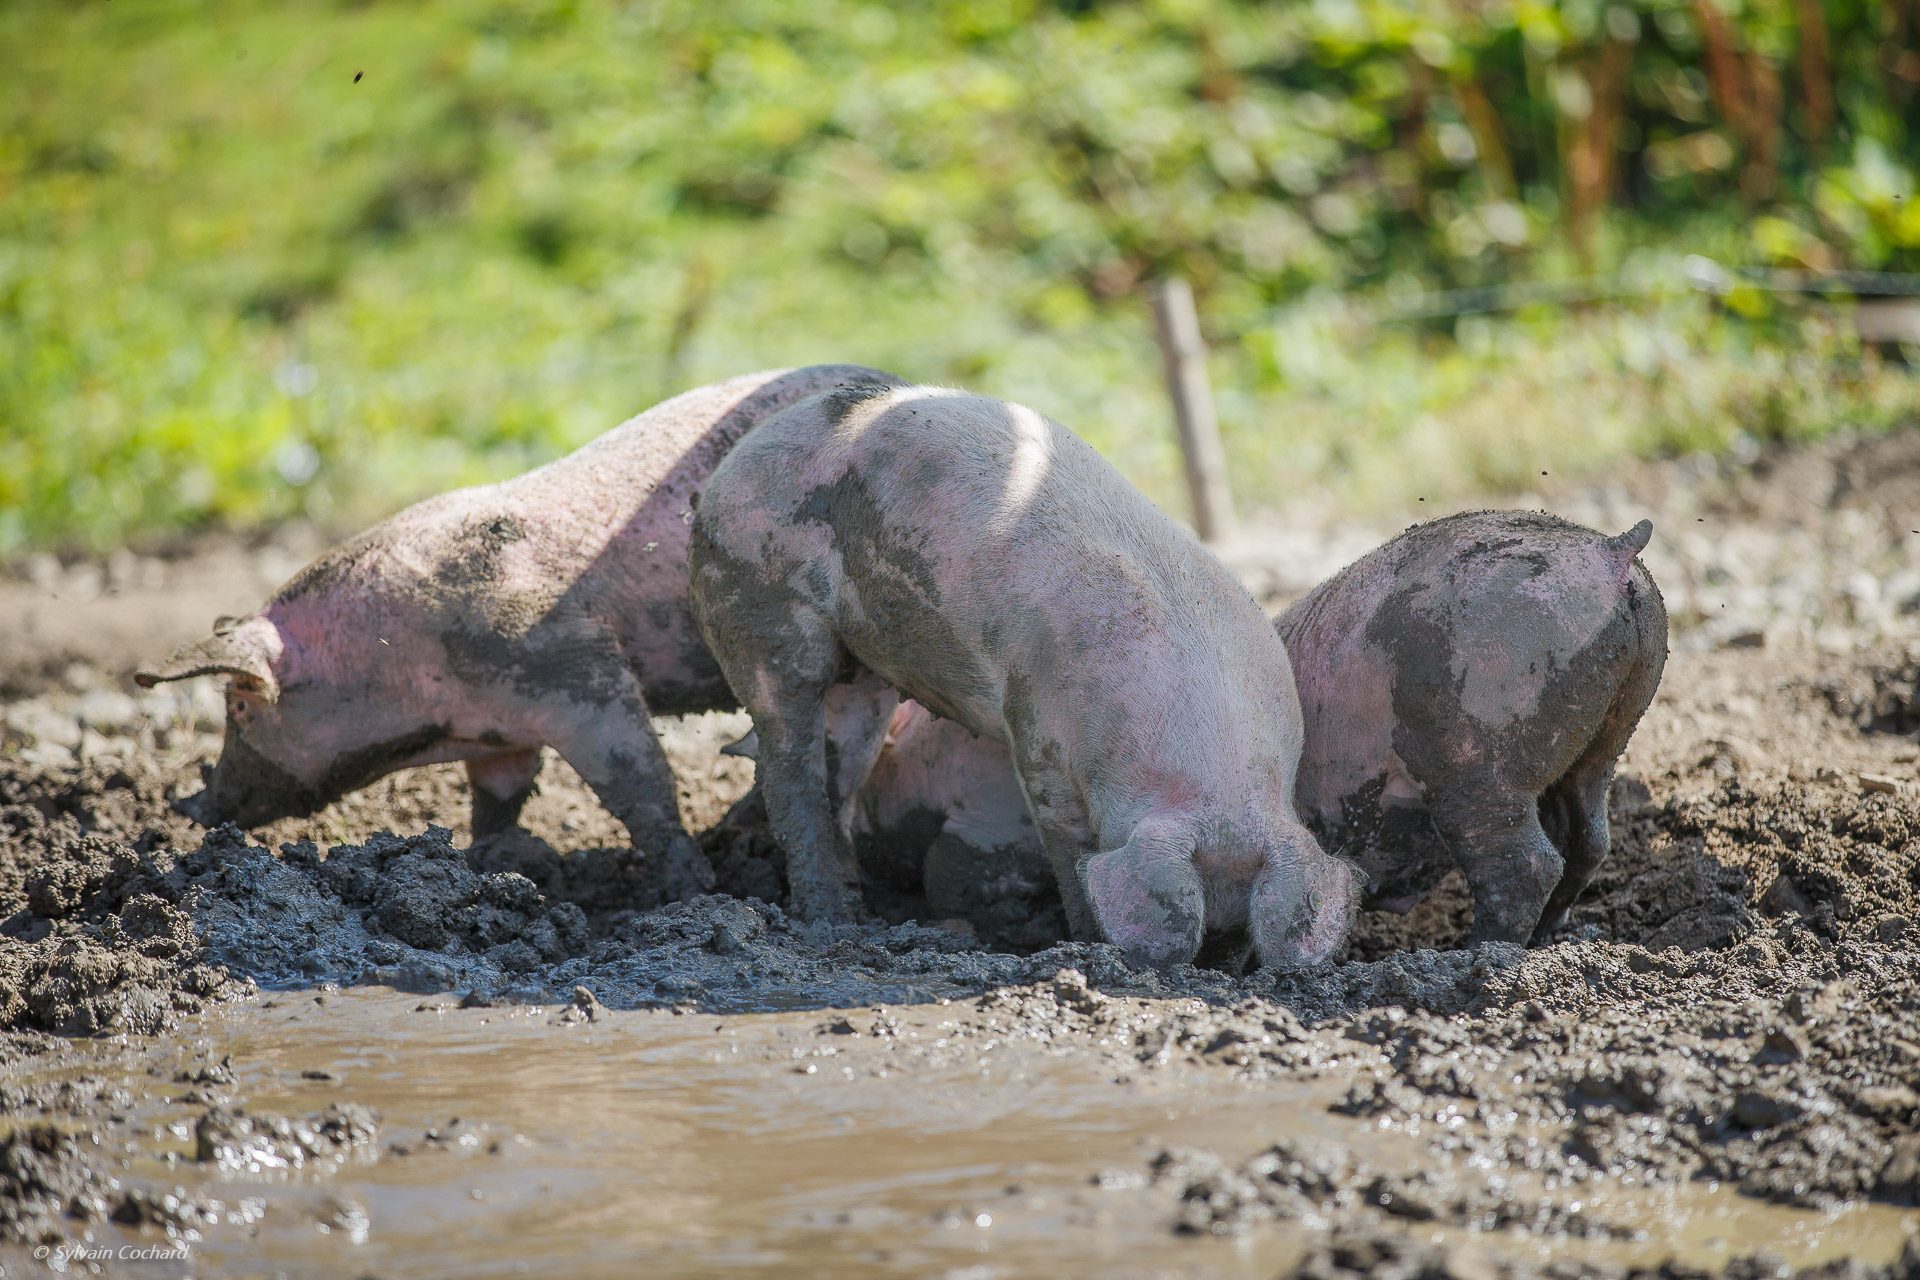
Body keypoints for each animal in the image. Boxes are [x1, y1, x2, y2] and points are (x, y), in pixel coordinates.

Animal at [139, 360, 902, 901]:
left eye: (240, 706)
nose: (196, 807)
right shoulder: (499, 732)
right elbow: (499, 794)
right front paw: (484, 861)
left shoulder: (570, 665)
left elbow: (638, 779)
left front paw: (687, 890)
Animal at [683, 383, 1359, 971]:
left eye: (1237, 939)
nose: (1217, 968)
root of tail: (726, 470)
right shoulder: (1036, 728)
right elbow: (1068, 848)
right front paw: (1087, 942)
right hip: (758, 604)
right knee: (788, 762)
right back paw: (829, 920)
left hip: (866, 675)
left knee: (839, 771)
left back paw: (859, 913)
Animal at [840, 510, 1666, 951]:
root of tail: (1611, 552)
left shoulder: (989, 822)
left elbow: (962, 874)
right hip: (1608, 734)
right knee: (1586, 840)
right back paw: (1550, 936)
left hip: (1476, 749)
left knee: (1524, 860)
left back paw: (1473, 954)